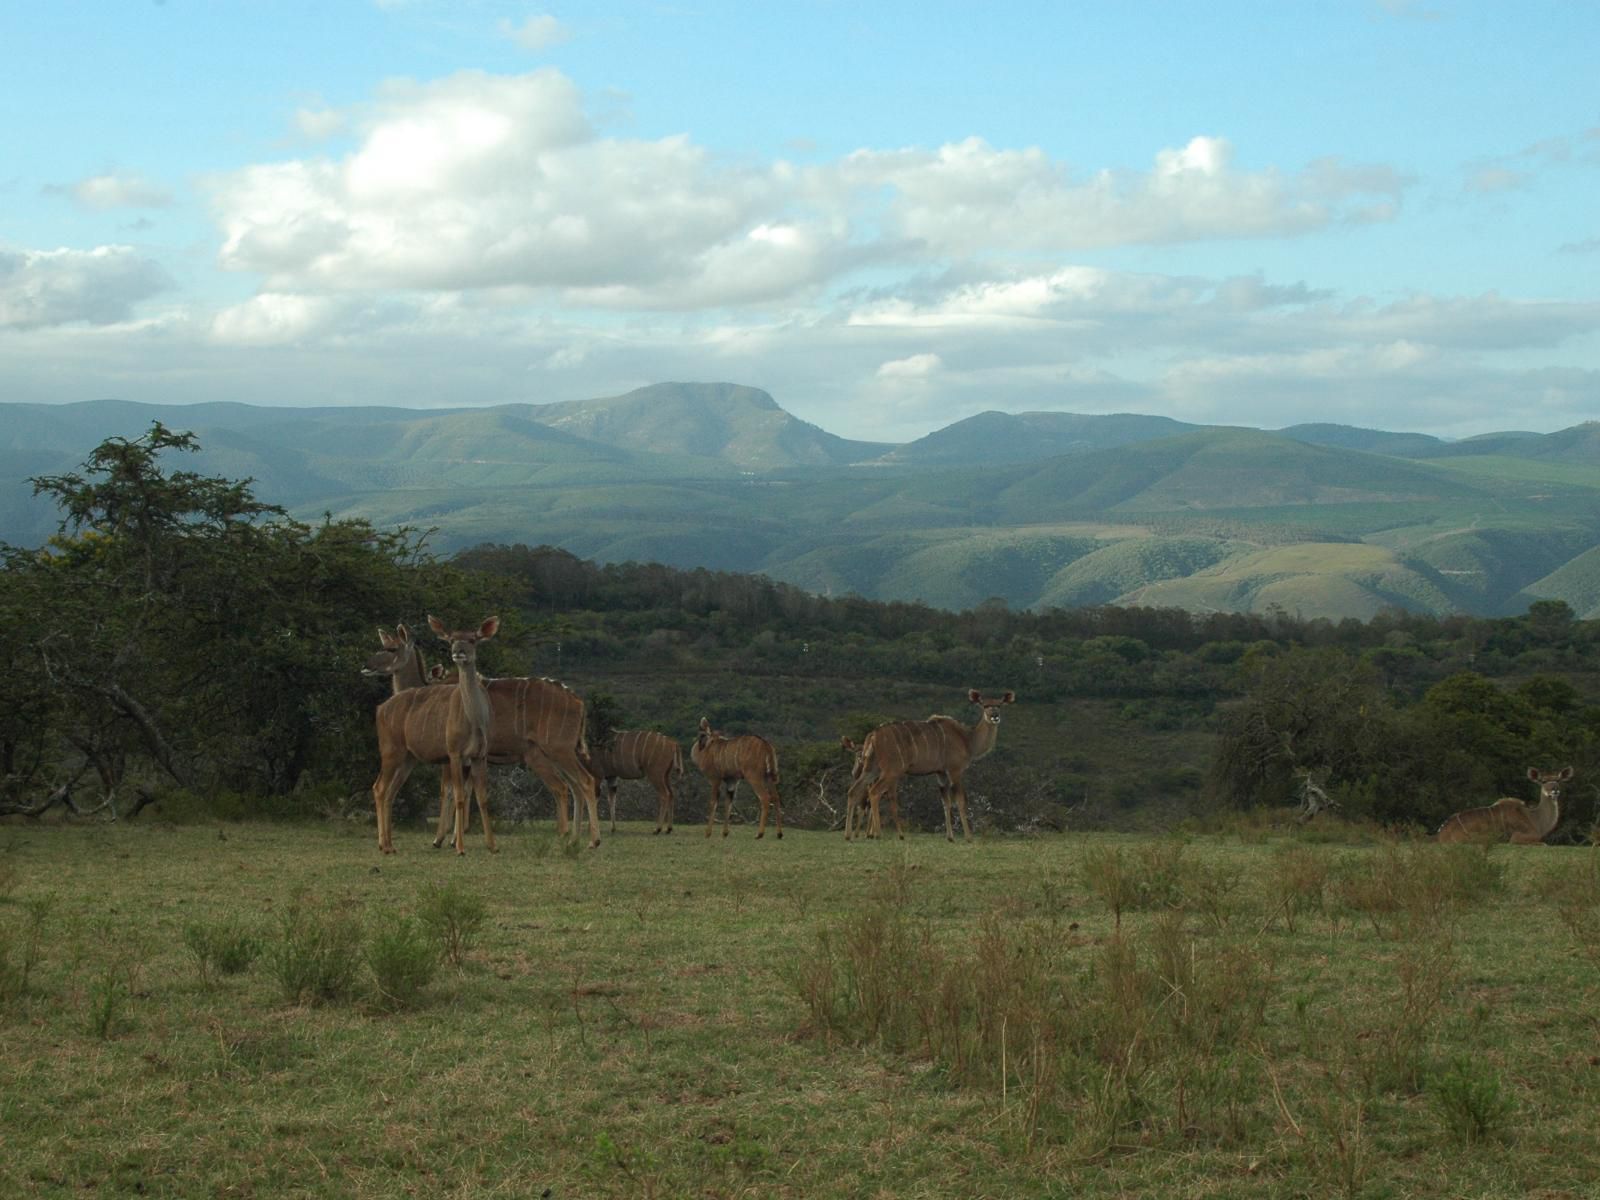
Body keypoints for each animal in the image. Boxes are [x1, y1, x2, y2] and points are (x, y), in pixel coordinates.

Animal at [851, 684, 1011, 844]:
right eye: (985, 705)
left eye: (999, 705)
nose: (995, 716)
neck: (967, 739)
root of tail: (873, 735)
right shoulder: (955, 770)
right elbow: (960, 800)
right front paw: (968, 837)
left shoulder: (940, 773)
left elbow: (946, 802)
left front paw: (950, 837)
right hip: (891, 771)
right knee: (874, 792)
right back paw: (877, 834)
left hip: (872, 768)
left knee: (854, 790)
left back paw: (850, 835)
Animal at [1440, 771, 1574, 844]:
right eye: (1543, 781)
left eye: (1558, 780)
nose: (1554, 790)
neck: (1534, 818)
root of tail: (1441, 834)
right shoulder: (1518, 837)